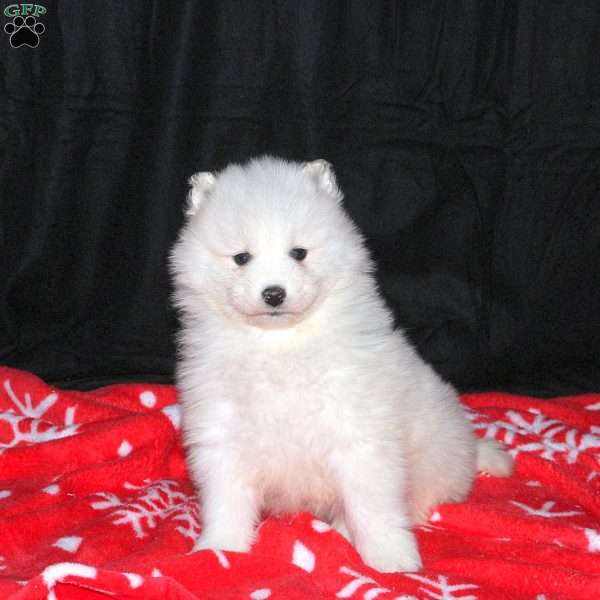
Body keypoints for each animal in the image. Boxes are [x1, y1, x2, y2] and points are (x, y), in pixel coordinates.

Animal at [170, 156, 510, 572]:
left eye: (299, 253)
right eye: (241, 258)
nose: (273, 293)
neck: (280, 343)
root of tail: (469, 447)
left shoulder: (360, 437)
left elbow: (373, 507)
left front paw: (391, 557)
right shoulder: (223, 434)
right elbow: (225, 501)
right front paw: (218, 549)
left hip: (433, 457)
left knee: (417, 498)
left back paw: (346, 531)